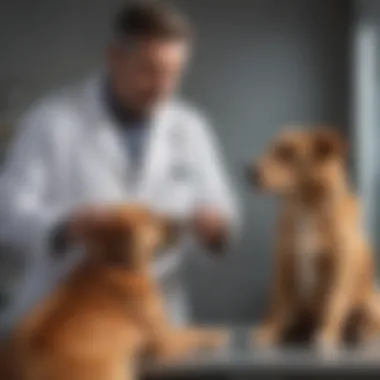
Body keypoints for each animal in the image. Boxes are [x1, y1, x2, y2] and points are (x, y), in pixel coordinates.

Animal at [0, 203, 226, 378]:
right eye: (150, 217)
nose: (182, 222)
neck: (115, 264)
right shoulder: (164, 340)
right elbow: (194, 332)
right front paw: (216, 334)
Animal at [248, 129, 380, 352]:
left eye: (287, 153)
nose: (248, 172)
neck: (307, 209)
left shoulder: (339, 269)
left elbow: (333, 304)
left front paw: (326, 336)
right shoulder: (284, 266)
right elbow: (277, 306)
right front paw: (268, 332)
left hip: (371, 301)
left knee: (367, 321)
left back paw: (360, 332)